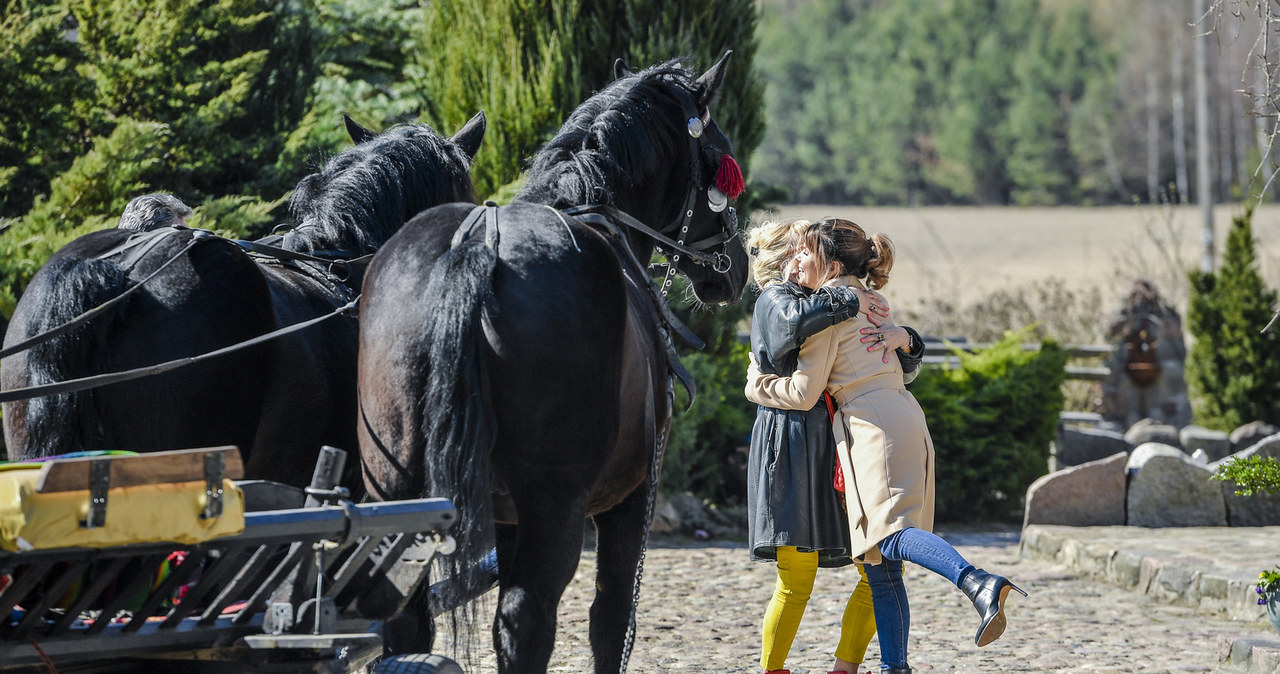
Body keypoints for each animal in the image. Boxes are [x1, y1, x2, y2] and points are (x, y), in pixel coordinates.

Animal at [353, 54, 747, 674]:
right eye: (719, 155)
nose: (737, 266)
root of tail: (478, 246)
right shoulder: (630, 499)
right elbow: (612, 619)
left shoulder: (506, 515)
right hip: (556, 506)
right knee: (529, 619)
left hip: (395, 491)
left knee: (405, 618)